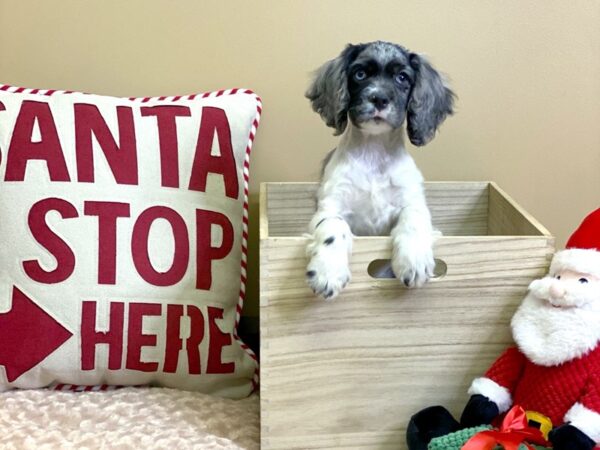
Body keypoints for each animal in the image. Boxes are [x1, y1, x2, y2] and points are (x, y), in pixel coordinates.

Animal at [304, 41, 454, 298]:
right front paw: (327, 271)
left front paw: (414, 261)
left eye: (402, 77)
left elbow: (413, 218)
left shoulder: (412, 201)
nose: (379, 98)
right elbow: (334, 225)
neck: (374, 153)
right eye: (360, 74)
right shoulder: (330, 205)